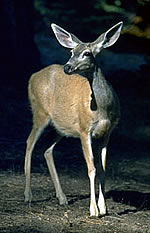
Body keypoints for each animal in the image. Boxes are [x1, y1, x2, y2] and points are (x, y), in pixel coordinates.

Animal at [24, 21, 123, 217]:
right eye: (71, 52)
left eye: (87, 53)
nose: (67, 67)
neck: (102, 109)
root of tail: (32, 76)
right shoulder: (85, 130)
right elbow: (92, 168)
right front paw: (93, 210)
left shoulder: (107, 133)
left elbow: (103, 169)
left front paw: (104, 208)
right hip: (39, 113)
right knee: (29, 142)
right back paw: (28, 195)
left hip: (62, 128)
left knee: (47, 150)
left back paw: (62, 198)